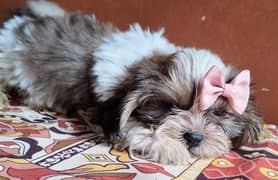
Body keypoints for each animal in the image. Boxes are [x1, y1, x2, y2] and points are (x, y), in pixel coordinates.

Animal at [0, 1, 262, 165]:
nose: (194, 137)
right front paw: (171, 147)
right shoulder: (102, 113)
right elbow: (137, 131)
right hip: (8, 59)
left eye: (218, 114)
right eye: (170, 106)